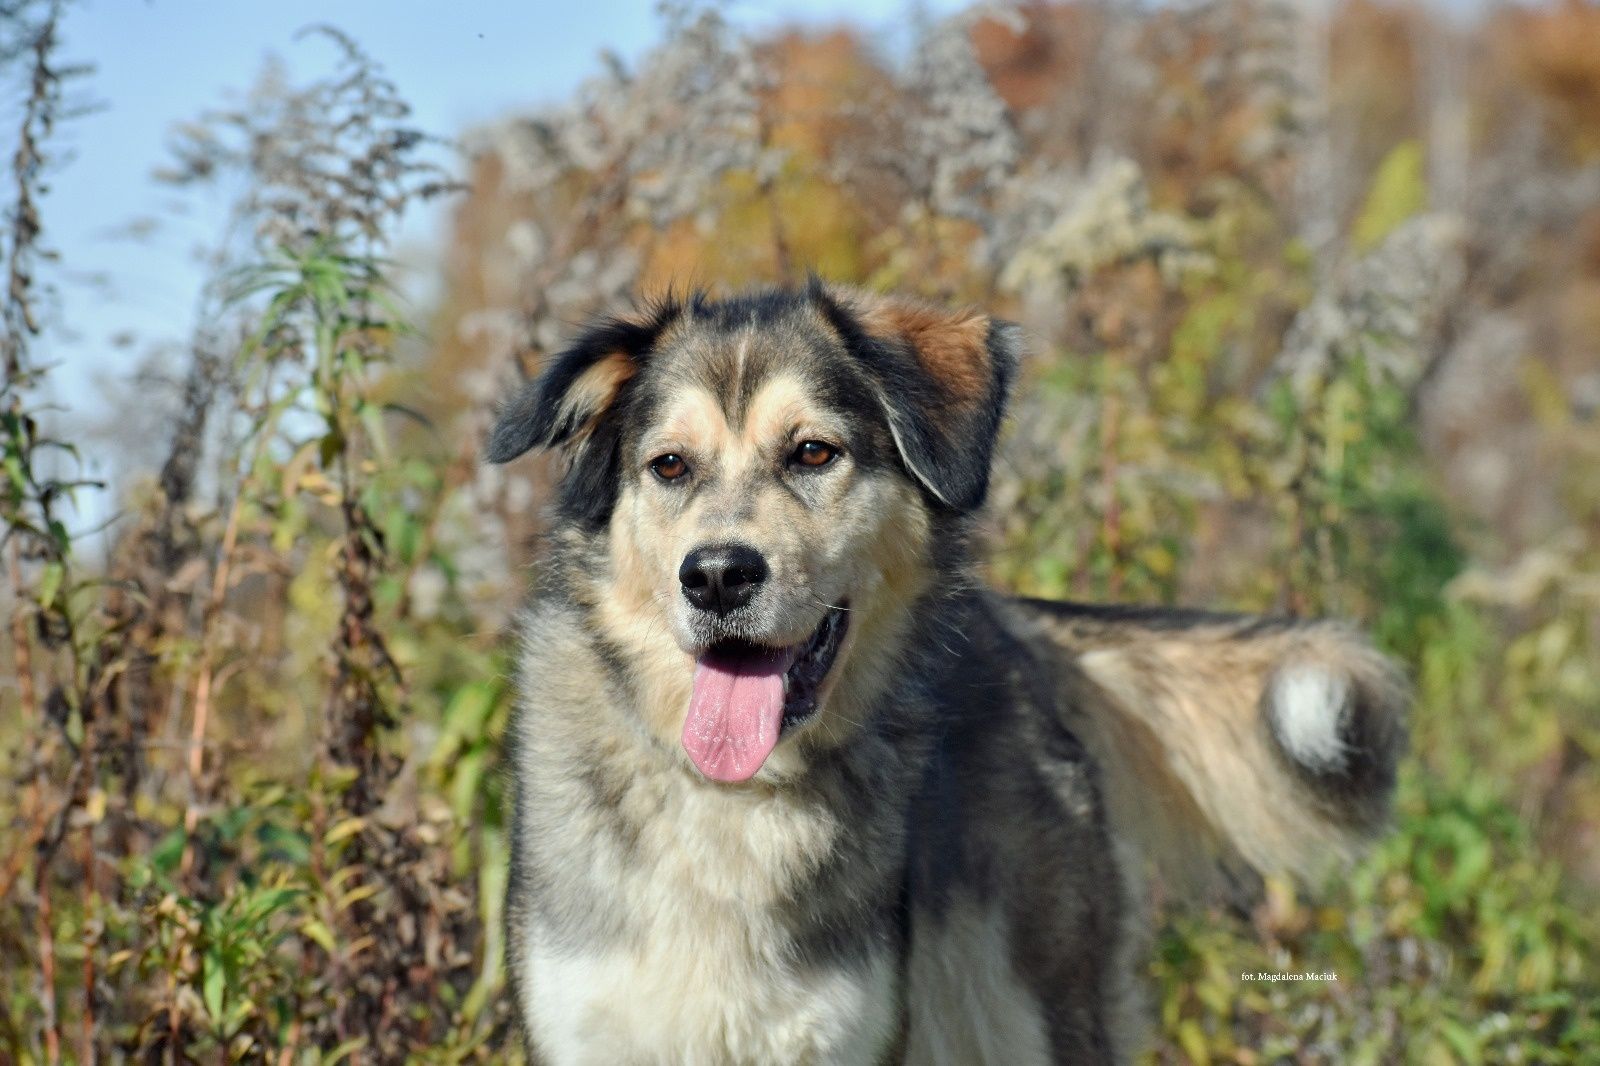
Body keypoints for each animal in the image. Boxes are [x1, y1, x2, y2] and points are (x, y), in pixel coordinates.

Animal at [483, 281, 1401, 1062]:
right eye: (670, 465)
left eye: (813, 453)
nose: (714, 577)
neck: (732, 798)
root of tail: (1008, 621)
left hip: (1028, 1007)